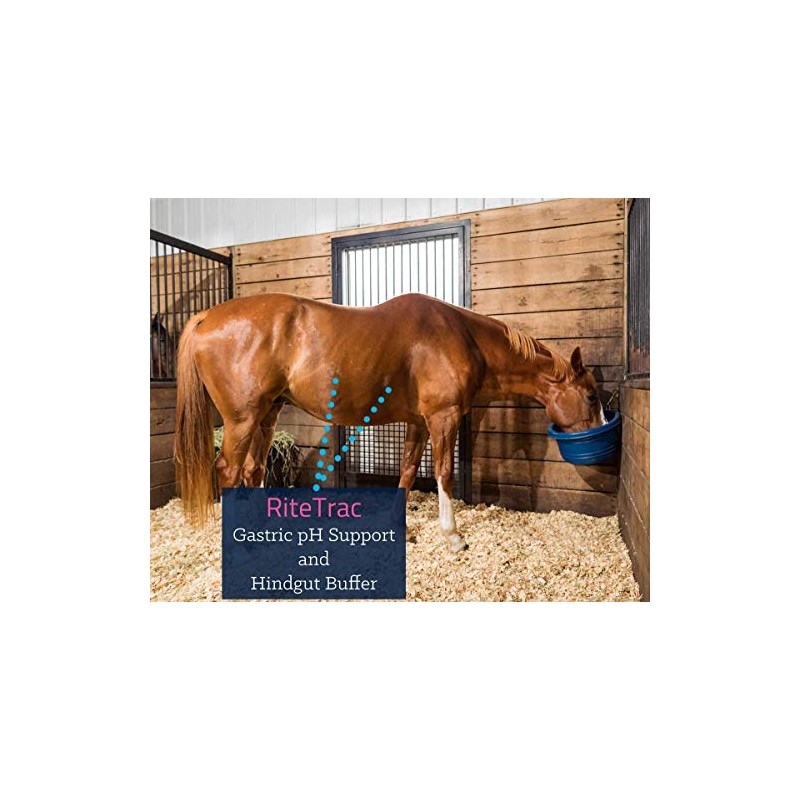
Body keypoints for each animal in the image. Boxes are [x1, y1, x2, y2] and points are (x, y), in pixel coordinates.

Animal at [174, 292, 605, 552]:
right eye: (591, 395)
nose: (598, 439)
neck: (462, 337)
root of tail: (208, 317)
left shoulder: (419, 422)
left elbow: (409, 469)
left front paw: (402, 529)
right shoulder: (443, 417)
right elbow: (444, 473)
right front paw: (453, 537)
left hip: (267, 413)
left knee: (253, 469)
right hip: (242, 419)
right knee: (229, 470)